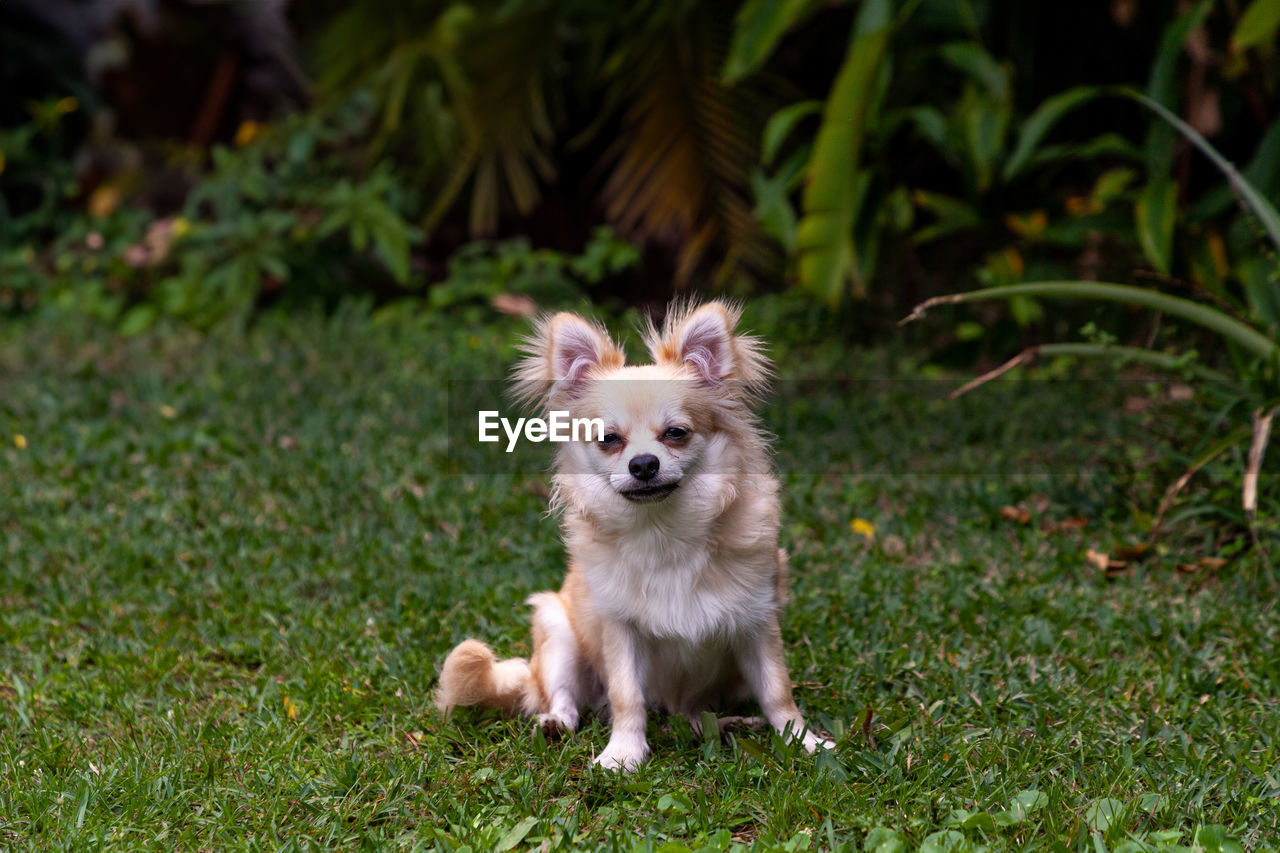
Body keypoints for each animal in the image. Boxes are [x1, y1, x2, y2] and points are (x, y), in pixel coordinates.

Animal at [435, 300, 834, 768]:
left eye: (676, 433)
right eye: (609, 439)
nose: (643, 463)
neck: (661, 530)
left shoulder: (756, 620)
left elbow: (777, 691)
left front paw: (804, 741)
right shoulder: (620, 630)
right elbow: (627, 696)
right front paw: (623, 754)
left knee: (697, 713)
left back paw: (727, 725)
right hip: (557, 631)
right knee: (564, 697)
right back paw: (556, 723)